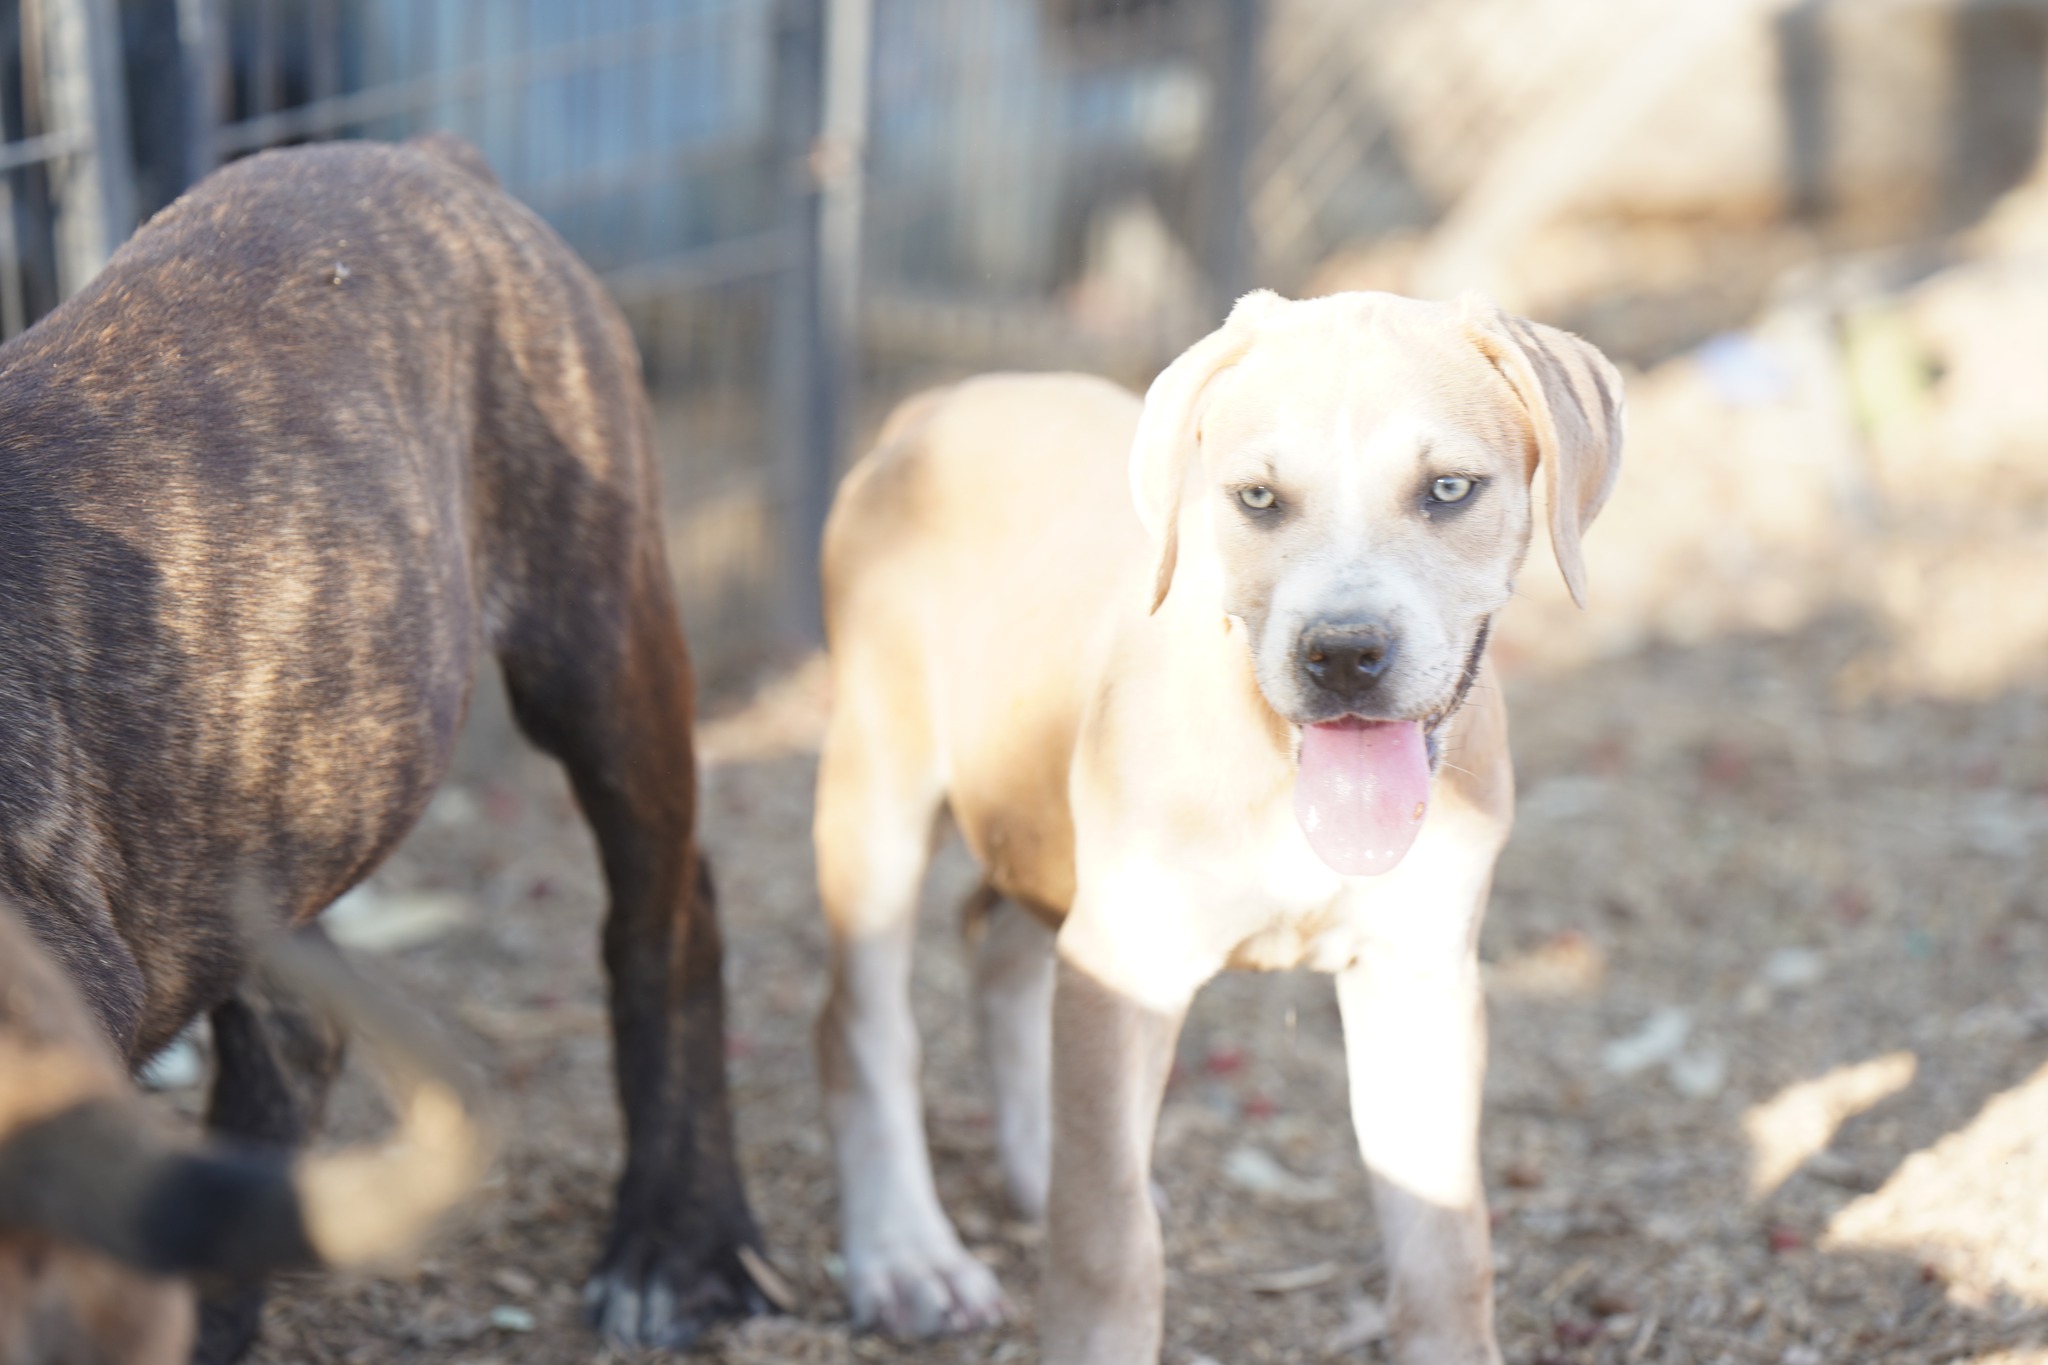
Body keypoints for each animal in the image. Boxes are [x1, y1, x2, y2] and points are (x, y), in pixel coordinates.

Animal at [0, 133, 765, 1358]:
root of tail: (423, 156)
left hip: (600, 651)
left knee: (666, 920)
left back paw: (675, 1242)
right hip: (244, 813)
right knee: (293, 1034)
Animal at [806, 290, 1622, 1365]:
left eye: (1449, 489)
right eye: (1259, 499)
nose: (1343, 653)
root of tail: (935, 405)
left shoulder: (1418, 976)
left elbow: (1445, 1246)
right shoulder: (1129, 964)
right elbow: (1109, 1240)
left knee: (1001, 961)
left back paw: (1030, 1165)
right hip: (882, 788)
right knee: (863, 1025)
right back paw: (906, 1255)